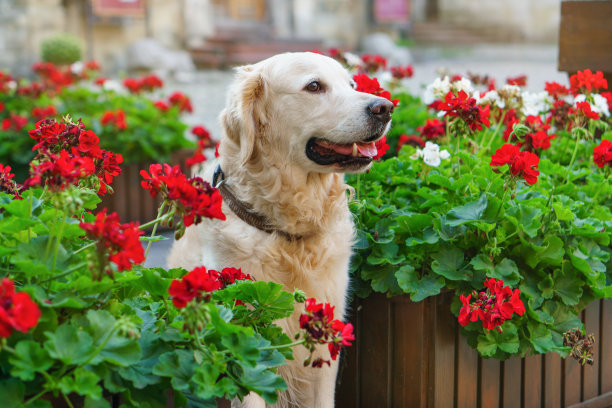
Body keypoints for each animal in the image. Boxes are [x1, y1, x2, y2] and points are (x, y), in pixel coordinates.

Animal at [167, 52, 394, 406]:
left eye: (352, 84)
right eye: (314, 86)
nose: (385, 107)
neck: (286, 231)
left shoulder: (325, 336)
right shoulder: (243, 333)